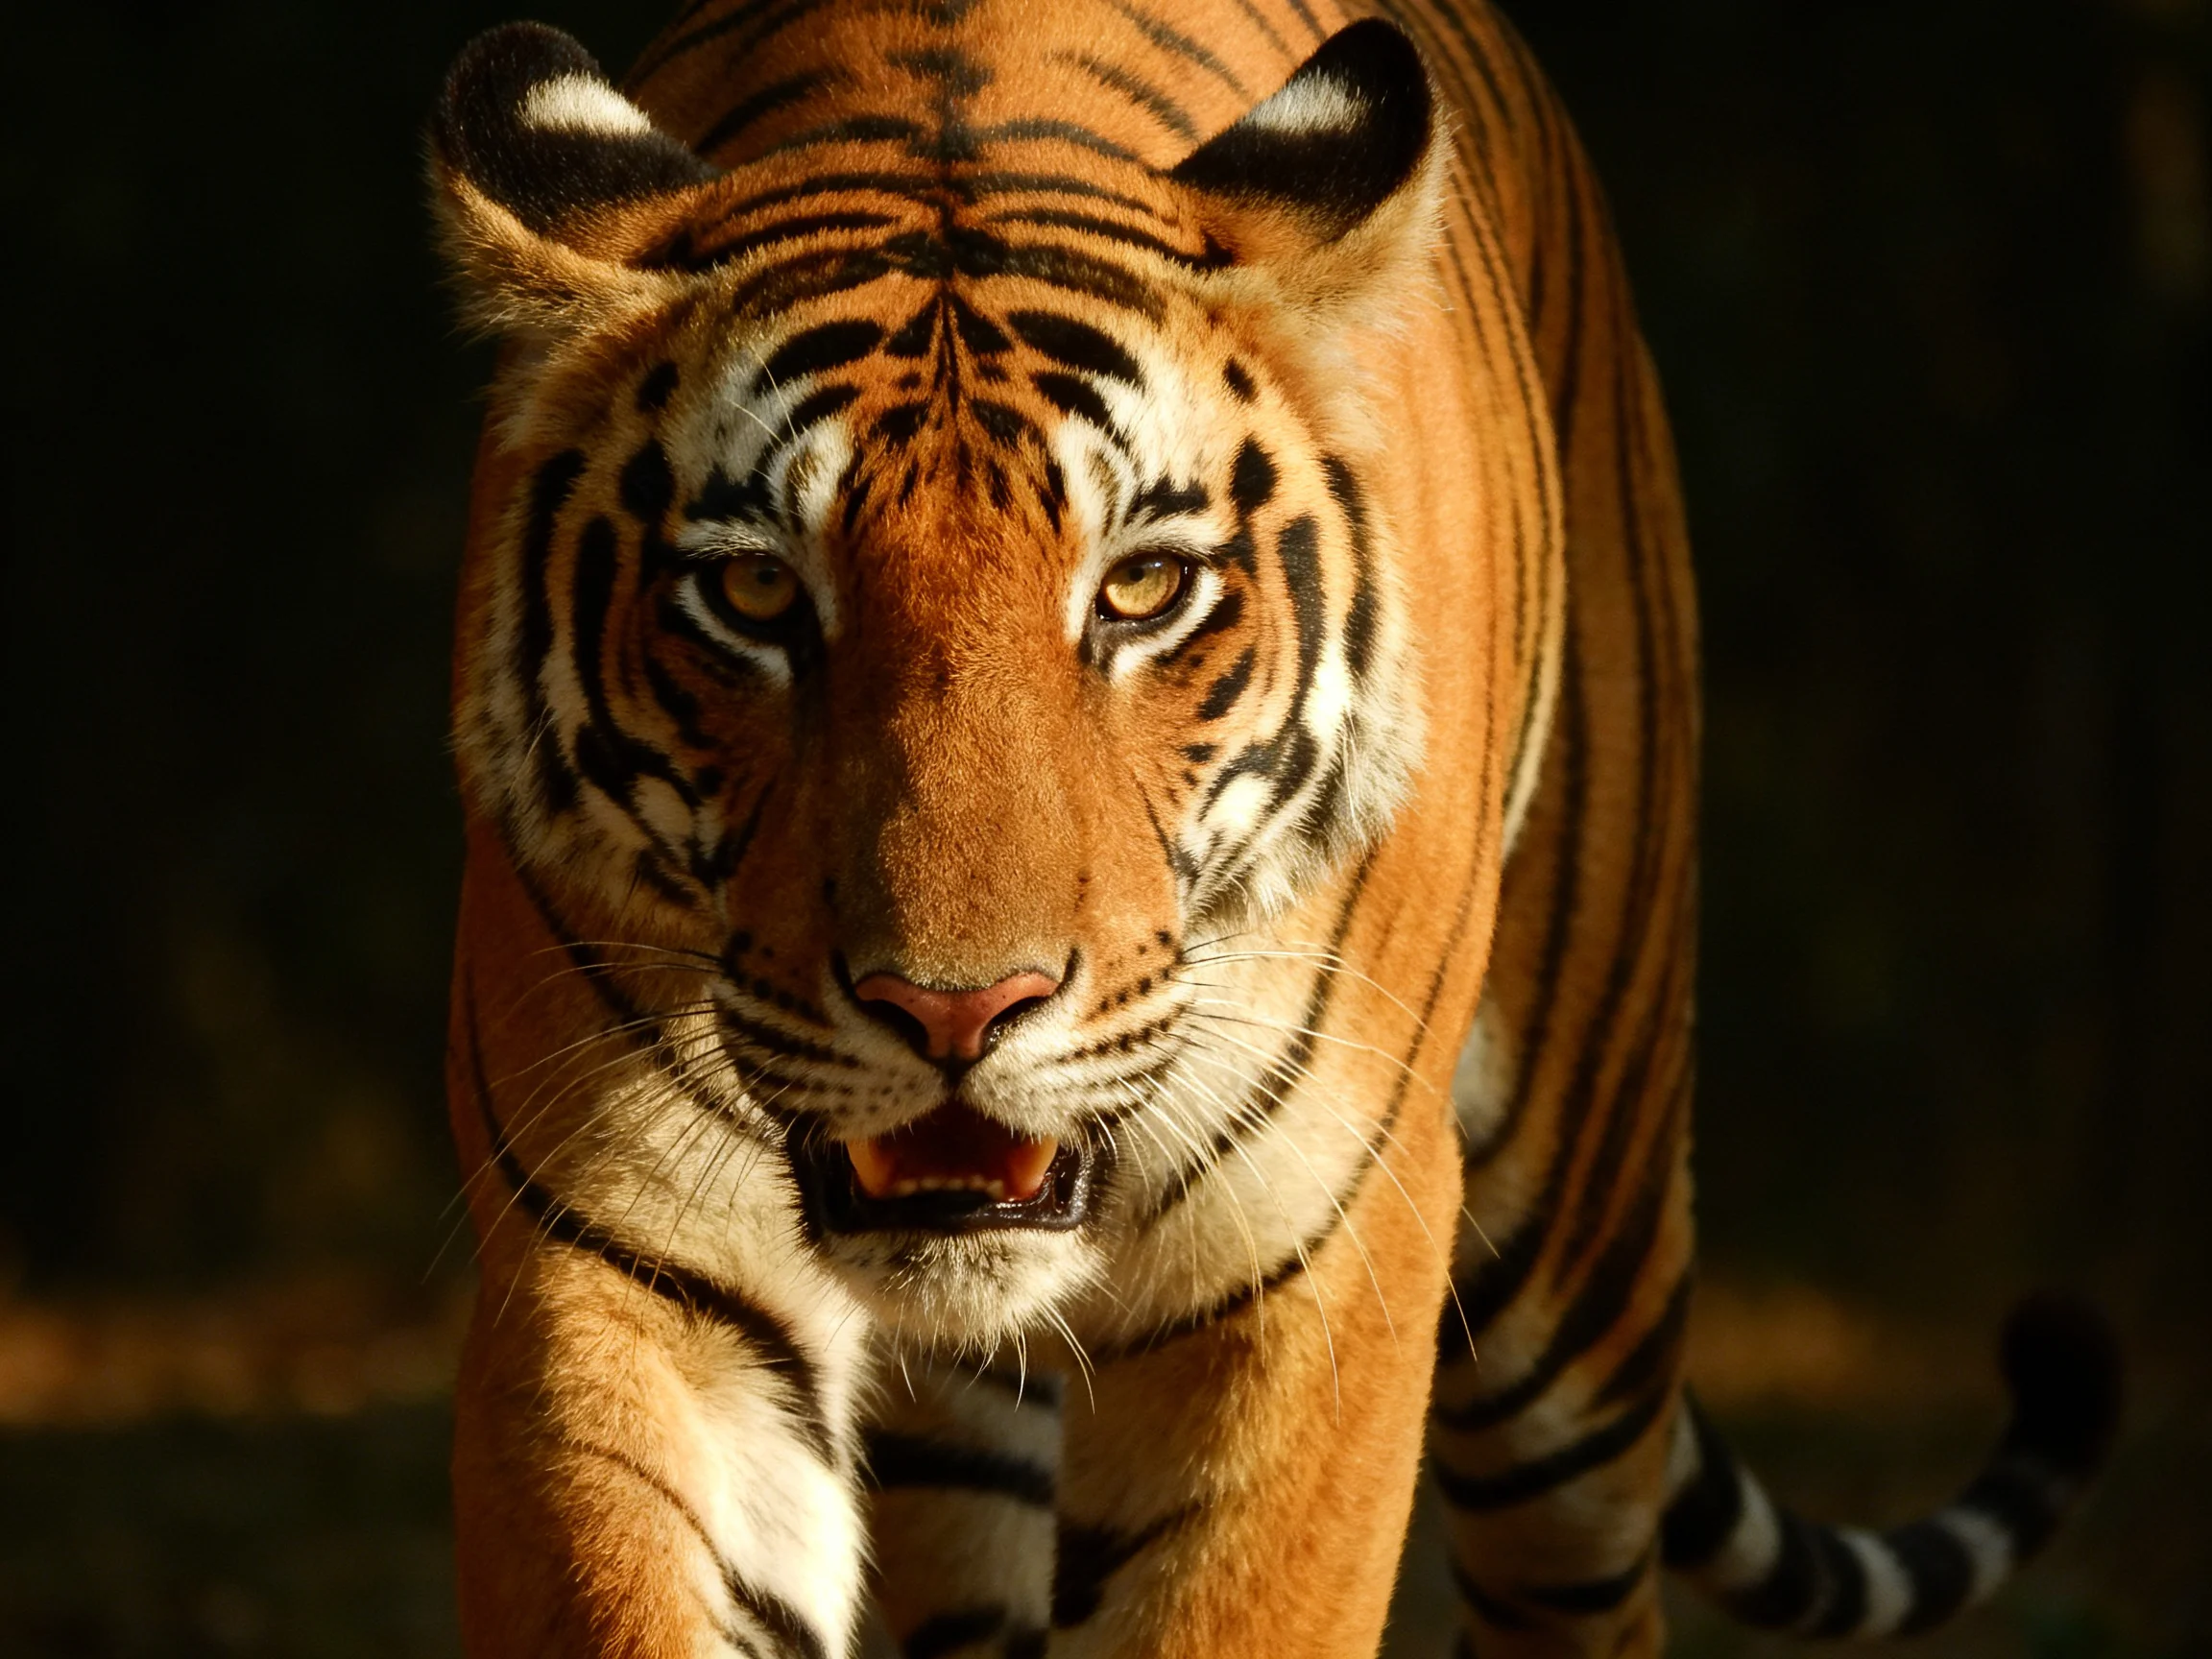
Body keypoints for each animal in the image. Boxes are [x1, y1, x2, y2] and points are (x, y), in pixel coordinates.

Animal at [426, 1, 2120, 1655]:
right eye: (757, 591)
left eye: (1140, 588)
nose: (956, 1011)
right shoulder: (618, 1260)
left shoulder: (1317, 1257)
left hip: (1581, 1259)